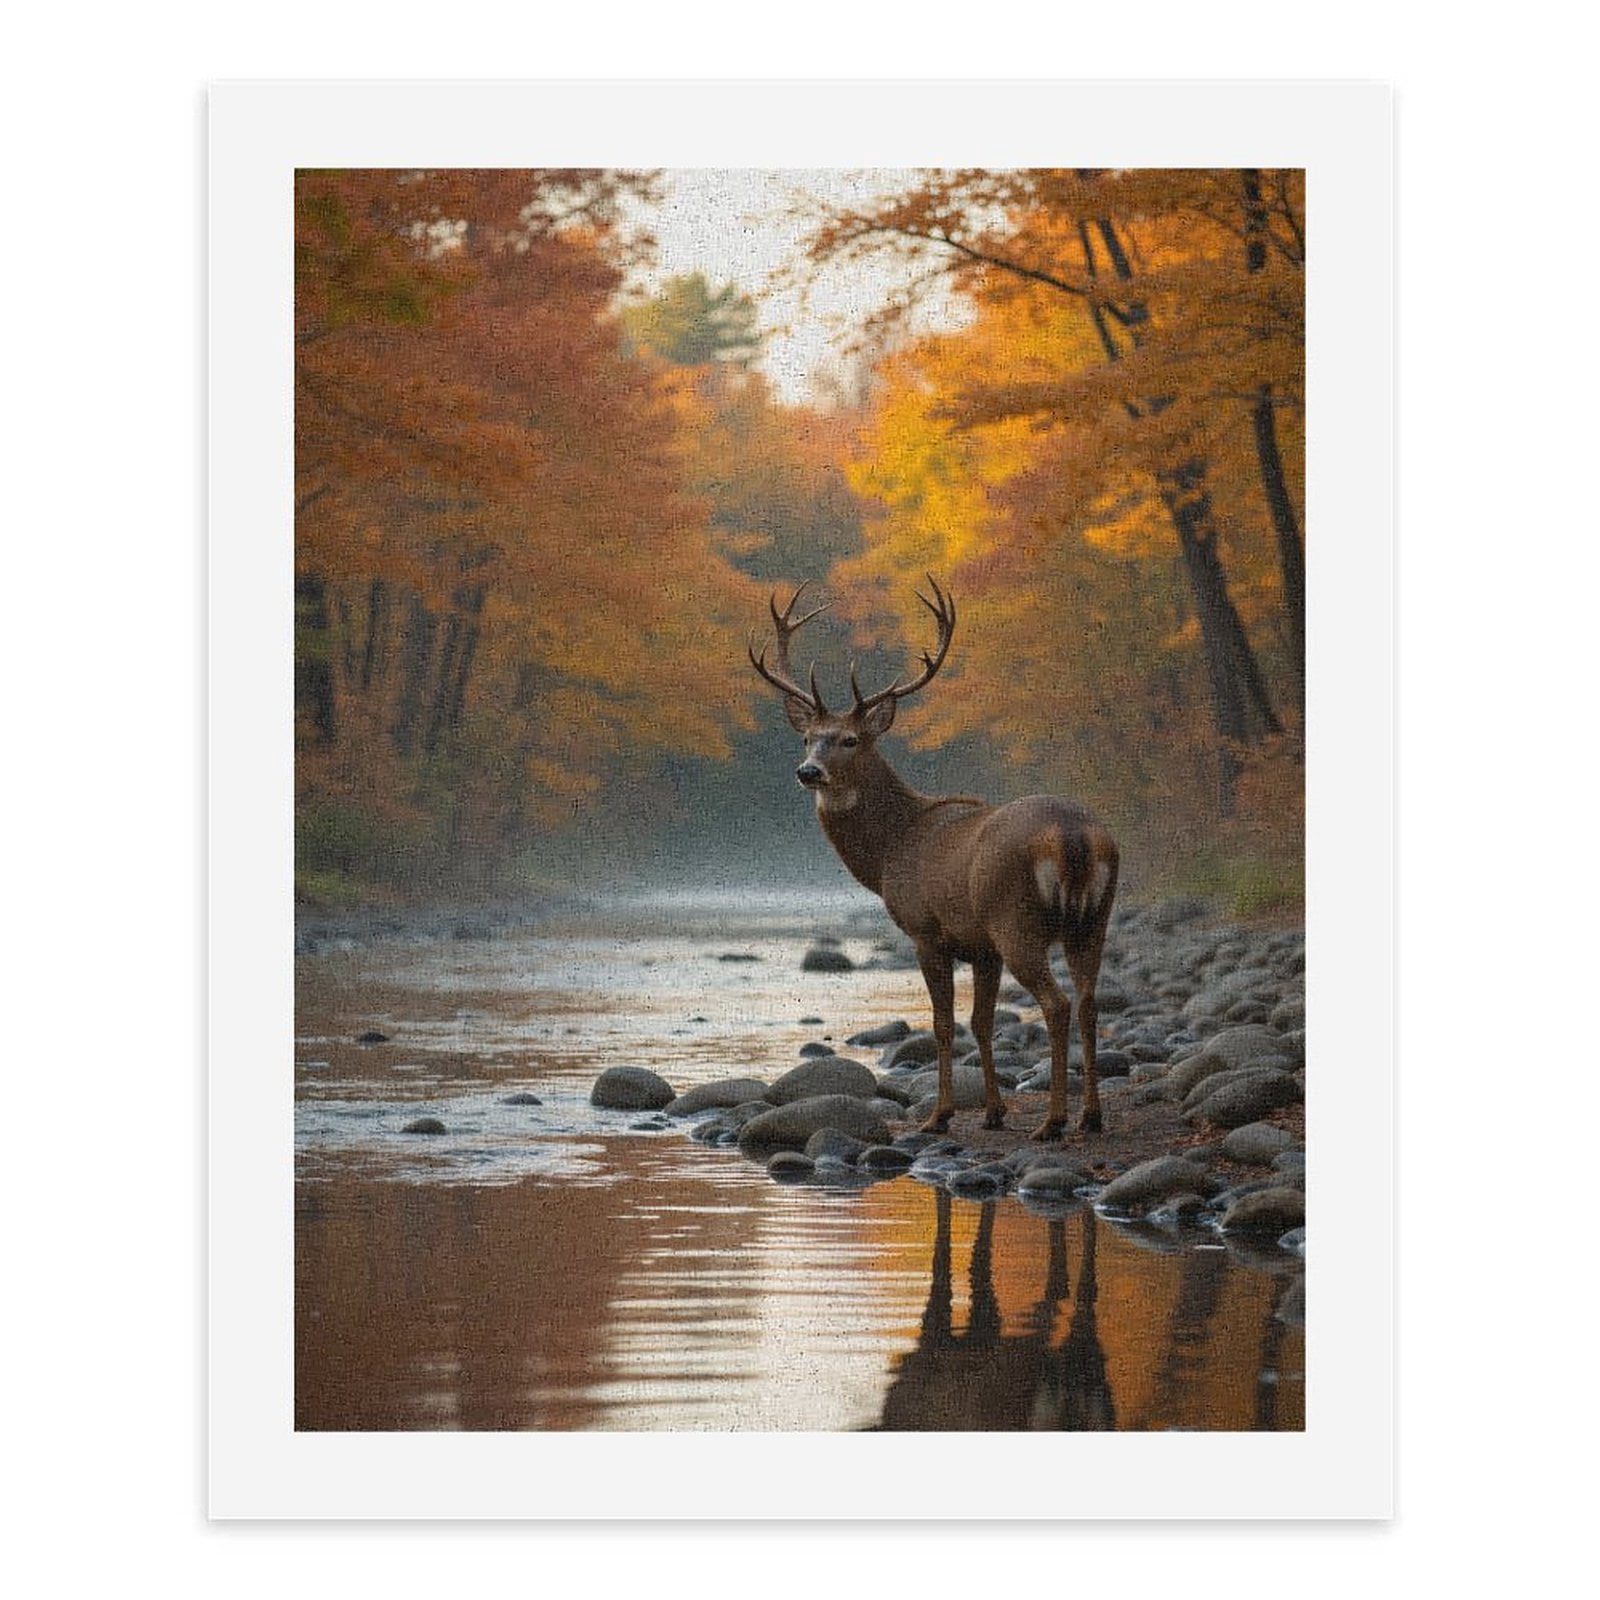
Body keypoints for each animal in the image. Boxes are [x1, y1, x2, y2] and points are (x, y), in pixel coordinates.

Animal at [749, 578, 1119, 1141]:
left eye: (850, 739)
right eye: (808, 737)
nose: (808, 771)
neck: (891, 850)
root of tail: (1072, 836)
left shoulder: (926, 930)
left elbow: (944, 1024)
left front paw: (940, 1115)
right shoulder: (982, 946)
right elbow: (981, 1023)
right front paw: (992, 1111)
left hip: (1016, 919)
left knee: (1056, 1004)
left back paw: (1054, 1121)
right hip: (1093, 920)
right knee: (1088, 1002)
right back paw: (1092, 1116)